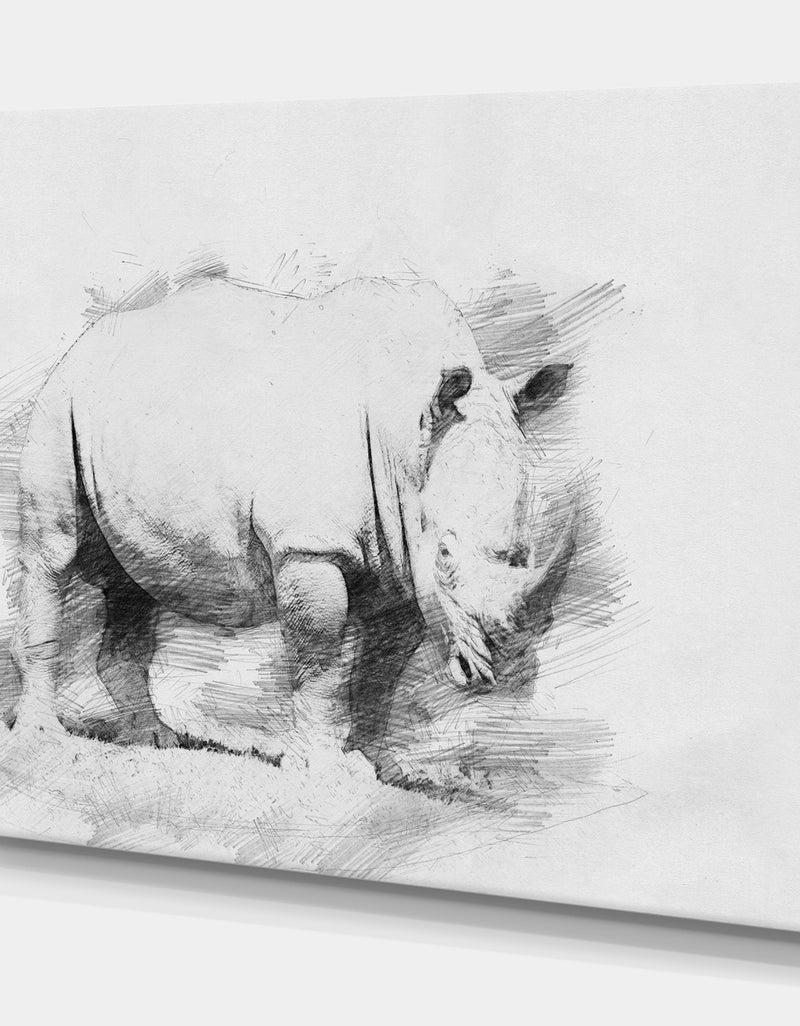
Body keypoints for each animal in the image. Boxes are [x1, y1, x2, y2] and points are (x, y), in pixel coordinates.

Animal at [11, 275, 576, 778]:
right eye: (445, 555)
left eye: (524, 554)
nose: (508, 668)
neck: (408, 433)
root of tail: (86, 340)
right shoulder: (310, 546)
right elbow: (319, 658)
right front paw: (321, 772)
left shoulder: (401, 562)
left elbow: (382, 671)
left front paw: (385, 768)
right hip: (60, 396)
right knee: (52, 551)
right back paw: (41, 738)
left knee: (134, 582)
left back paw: (153, 739)